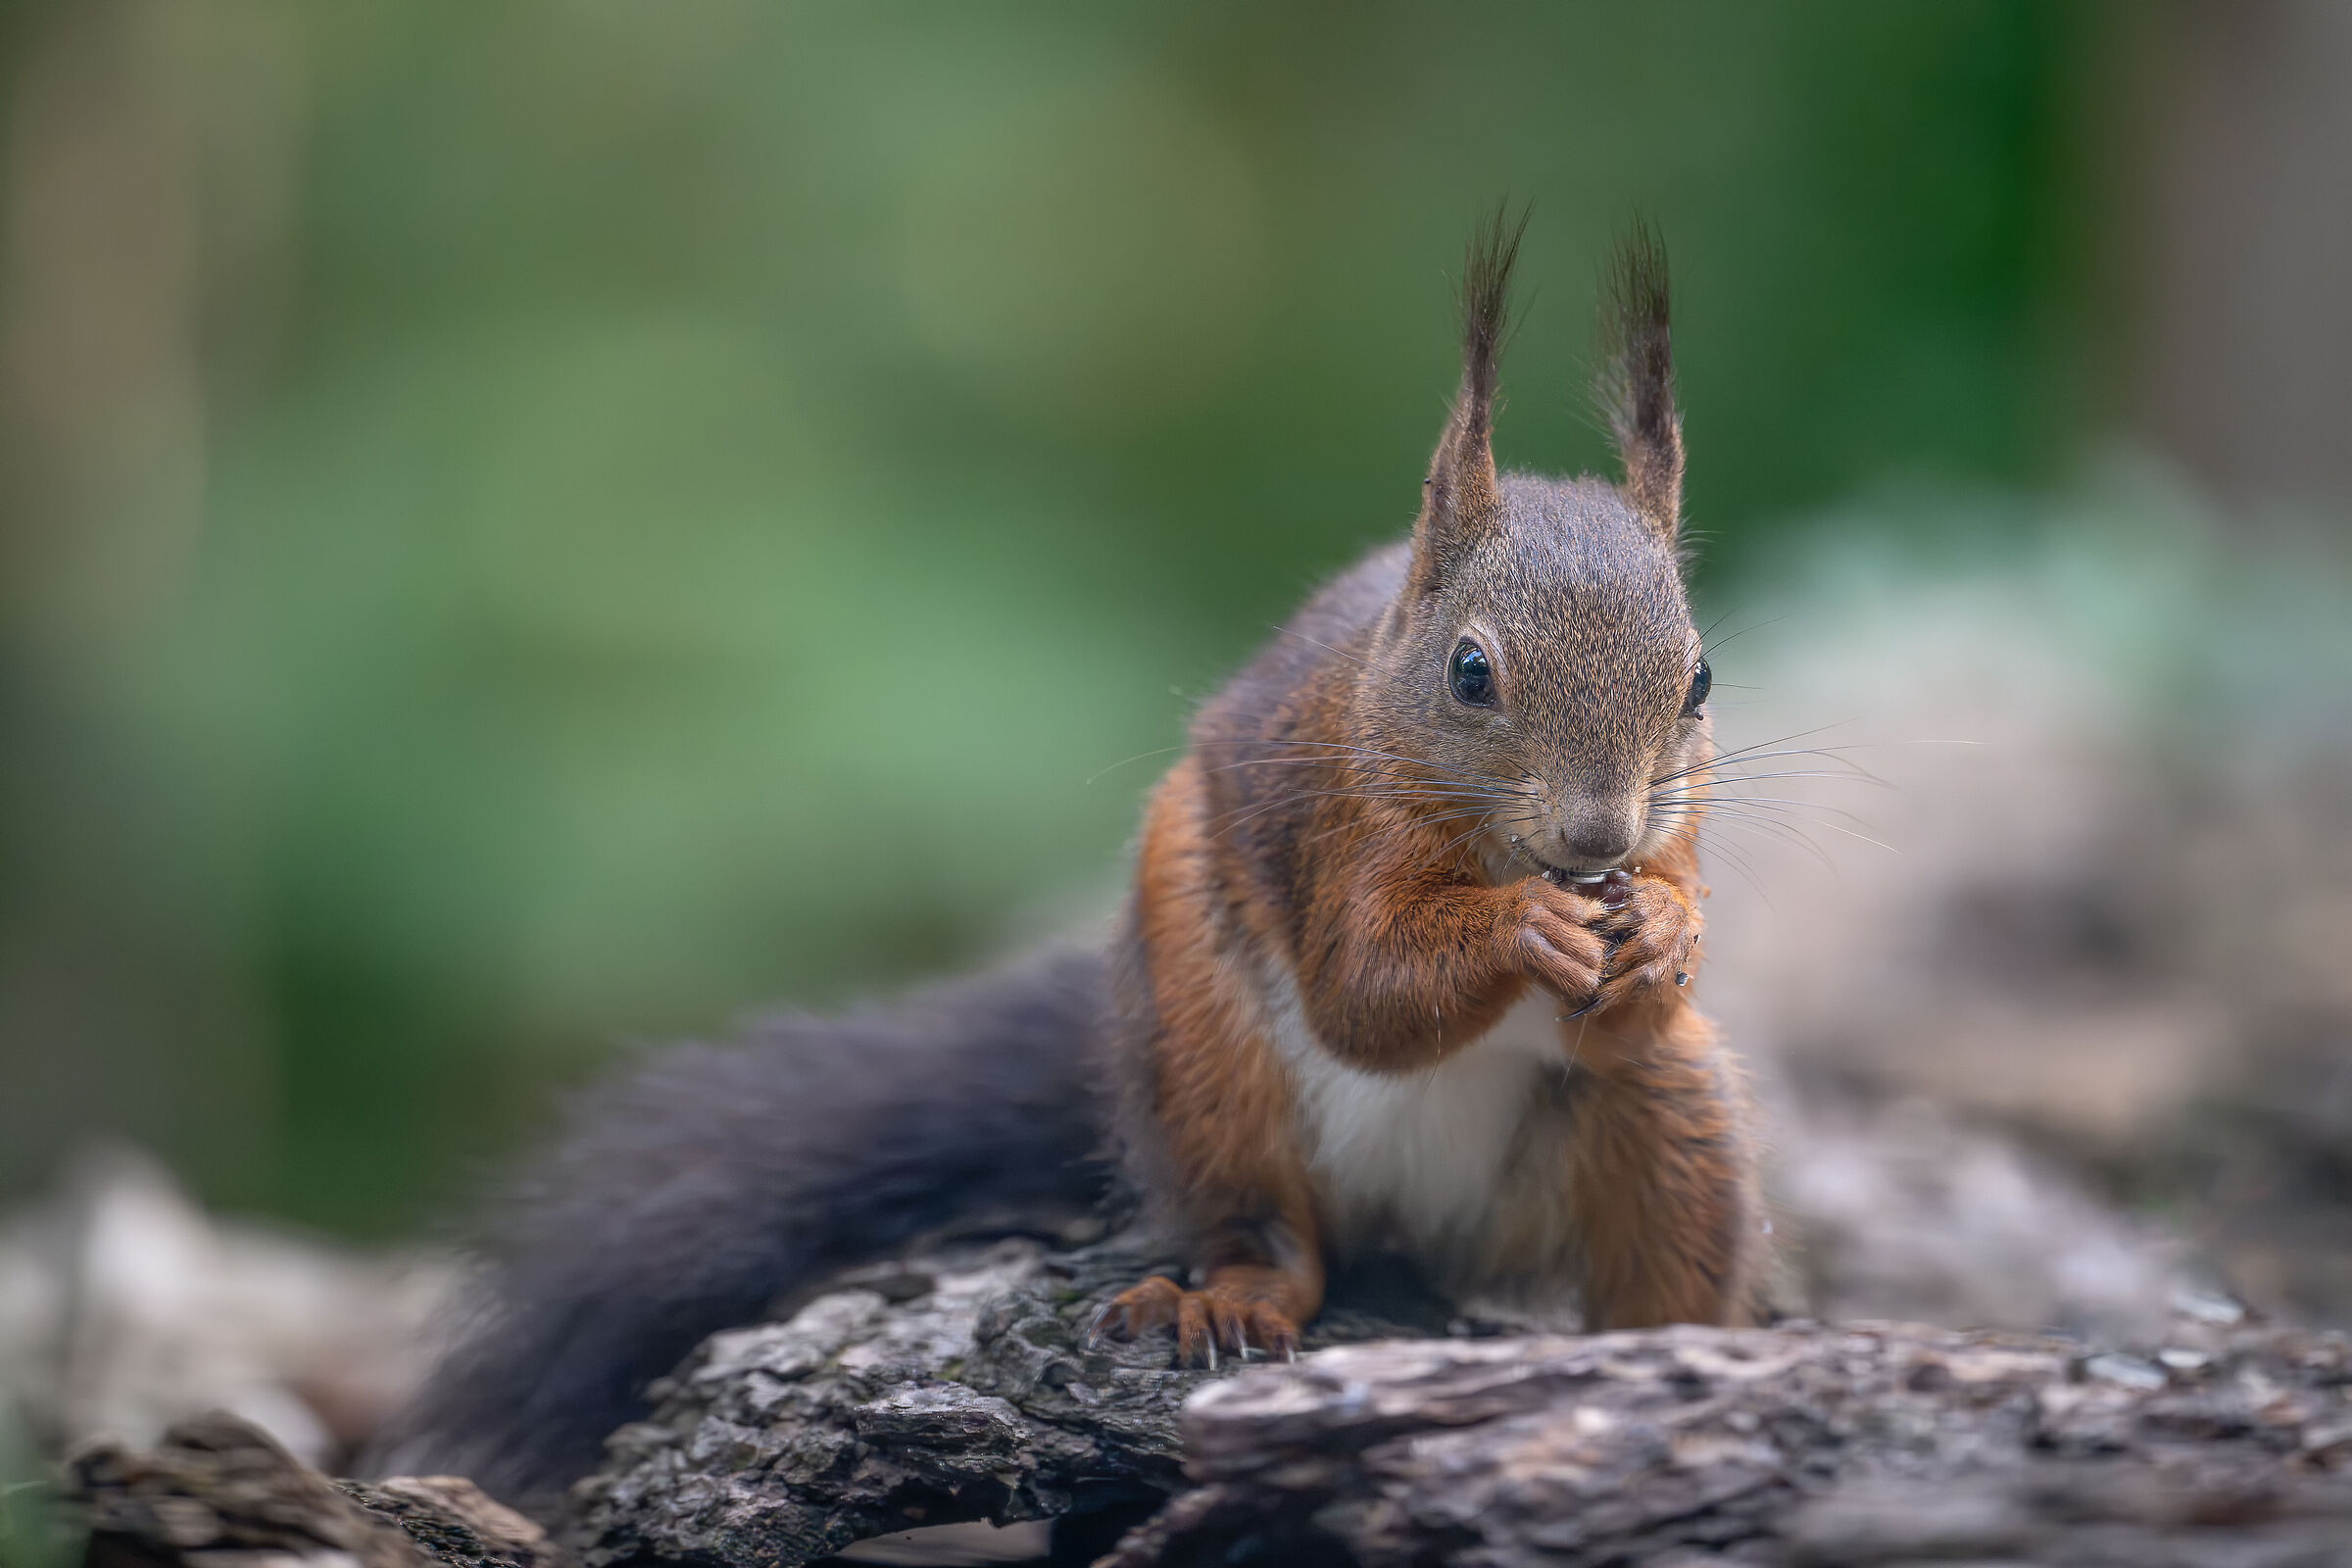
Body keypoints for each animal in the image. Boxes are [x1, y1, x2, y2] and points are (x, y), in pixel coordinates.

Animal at [368, 213, 1767, 1509]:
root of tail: (1421, 1221)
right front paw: (1528, 925)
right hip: (1206, 1057)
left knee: (1657, 1218)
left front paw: (1668, 930)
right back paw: (1237, 1298)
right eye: (1473, 672)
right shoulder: (1334, 825)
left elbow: (1641, 984)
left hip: (1671, 1118)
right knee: (1268, 1229)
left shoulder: (1680, 839)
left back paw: (1676, 1355)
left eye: (1700, 677)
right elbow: (1363, 992)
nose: (1598, 838)